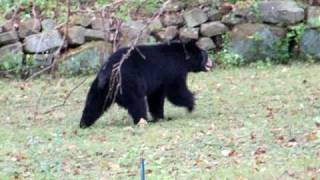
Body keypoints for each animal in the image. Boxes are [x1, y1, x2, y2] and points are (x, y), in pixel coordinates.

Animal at [79, 40, 212, 128]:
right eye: (204, 54)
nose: (211, 61)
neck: (182, 58)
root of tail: (107, 72)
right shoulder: (172, 70)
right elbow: (176, 91)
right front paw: (191, 104)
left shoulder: (159, 81)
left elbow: (156, 97)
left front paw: (159, 116)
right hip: (129, 83)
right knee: (137, 102)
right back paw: (143, 121)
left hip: (101, 88)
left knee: (94, 103)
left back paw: (84, 123)